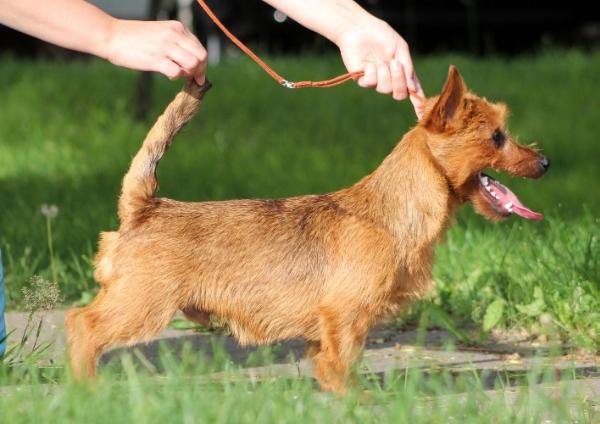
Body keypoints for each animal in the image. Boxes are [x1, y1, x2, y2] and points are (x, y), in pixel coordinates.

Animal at [65, 64, 548, 392]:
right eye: (497, 136)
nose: (545, 162)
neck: (392, 211)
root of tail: (145, 206)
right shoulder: (347, 317)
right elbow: (343, 364)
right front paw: (357, 401)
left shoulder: (331, 329)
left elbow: (328, 364)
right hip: (141, 305)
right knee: (83, 325)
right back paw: (88, 390)